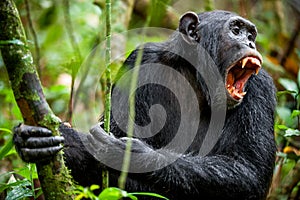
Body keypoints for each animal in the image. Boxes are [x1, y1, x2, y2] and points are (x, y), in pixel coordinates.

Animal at [13, 10, 276, 199]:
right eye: (236, 30)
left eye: (250, 35)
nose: (251, 44)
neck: (195, 77)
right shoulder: (138, 62)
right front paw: (38, 139)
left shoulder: (261, 88)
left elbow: (249, 170)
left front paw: (133, 155)